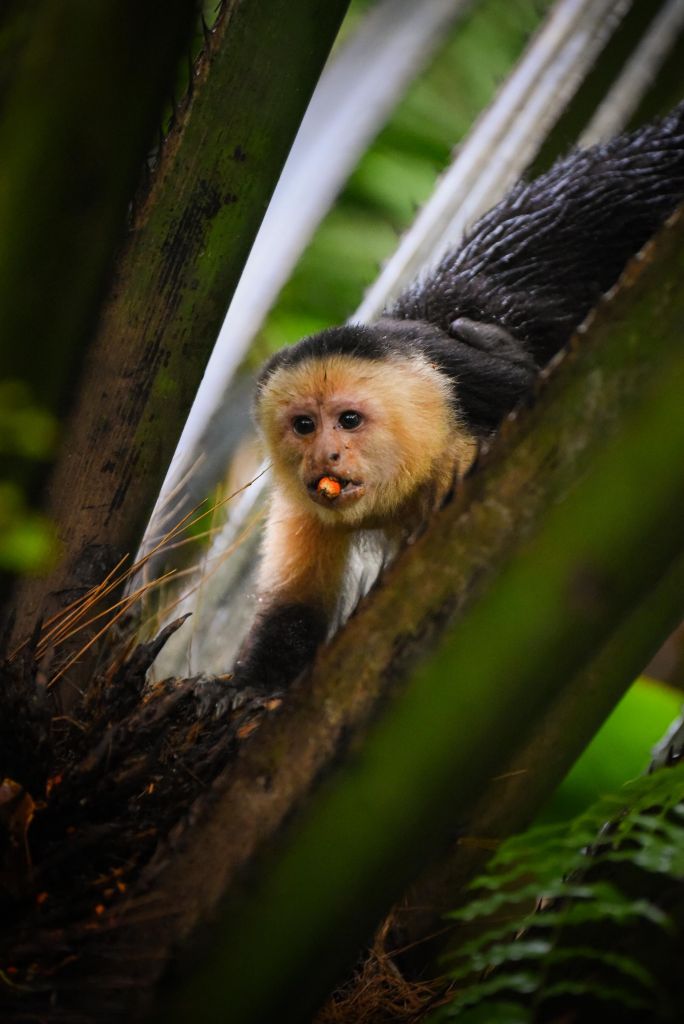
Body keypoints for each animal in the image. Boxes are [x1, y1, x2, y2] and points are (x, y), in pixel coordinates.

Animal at [235, 101, 684, 688]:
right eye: (304, 426)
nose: (325, 455)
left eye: (349, 420)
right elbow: (291, 610)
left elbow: (519, 381)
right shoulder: (300, 500)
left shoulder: (451, 373)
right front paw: (239, 691)